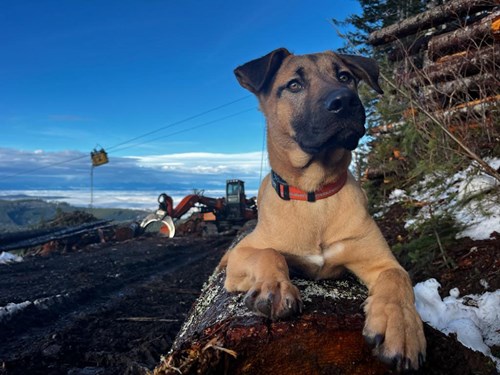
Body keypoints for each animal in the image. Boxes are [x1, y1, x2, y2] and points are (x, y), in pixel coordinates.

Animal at [220, 47, 426, 374]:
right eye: (294, 85)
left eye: (345, 77)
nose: (345, 101)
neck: (315, 194)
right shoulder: (245, 251)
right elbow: (270, 252)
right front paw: (274, 288)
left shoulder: (381, 260)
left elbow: (398, 278)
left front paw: (402, 327)